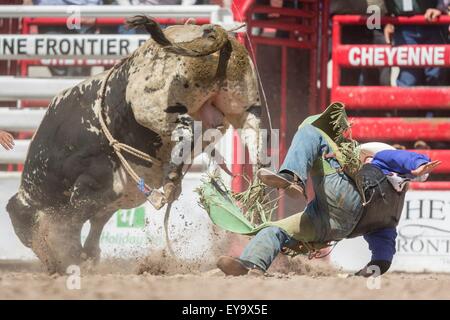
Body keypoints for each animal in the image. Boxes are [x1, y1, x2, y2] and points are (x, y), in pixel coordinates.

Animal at [6, 16, 260, 272]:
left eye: (25, 232)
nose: (51, 266)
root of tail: (214, 33)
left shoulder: (90, 186)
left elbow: (72, 221)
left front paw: (75, 257)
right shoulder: (112, 196)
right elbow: (97, 222)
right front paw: (87, 255)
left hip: (155, 110)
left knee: (185, 129)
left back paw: (172, 181)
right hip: (242, 106)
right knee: (253, 135)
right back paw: (258, 184)